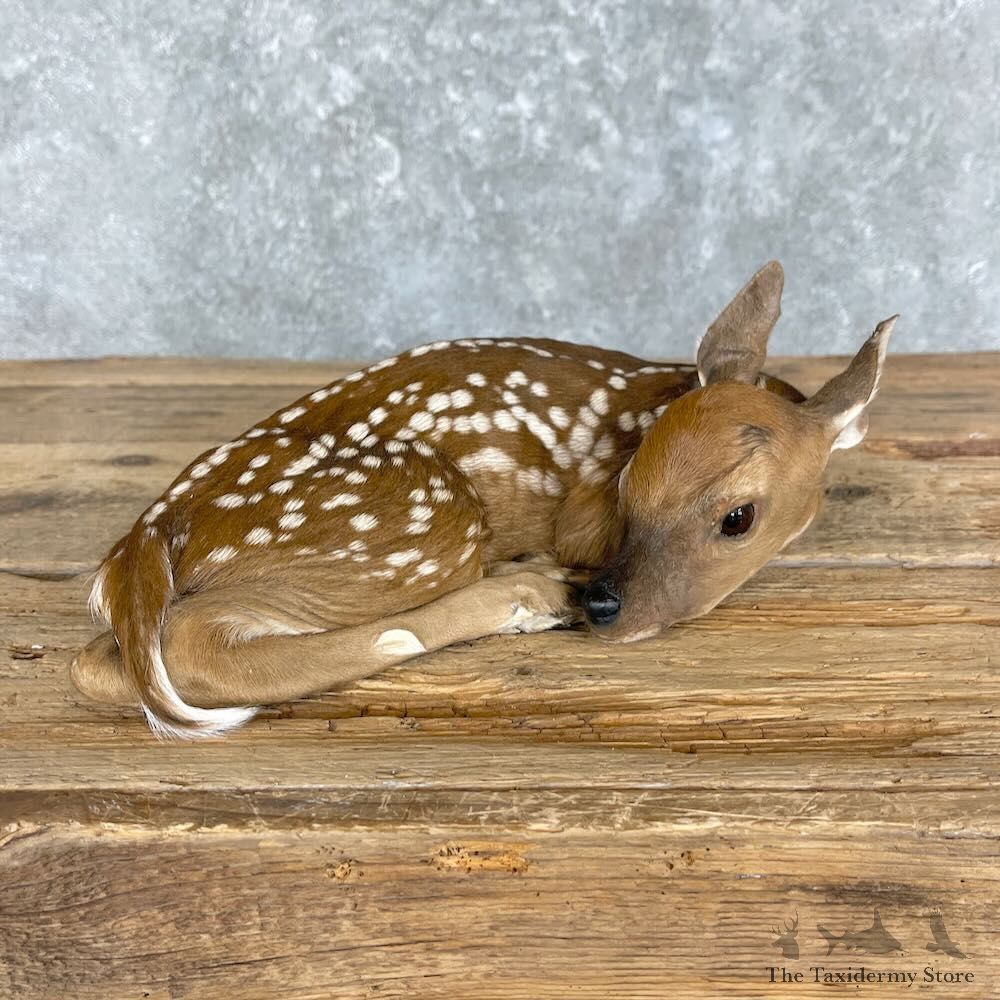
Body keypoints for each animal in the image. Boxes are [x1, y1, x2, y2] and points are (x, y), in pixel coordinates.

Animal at [71, 262, 896, 739]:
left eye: (737, 518)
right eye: (627, 486)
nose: (603, 605)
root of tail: (140, 542)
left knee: (101, 663)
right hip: (421, 516)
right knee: (191, 642)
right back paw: (526, 595)